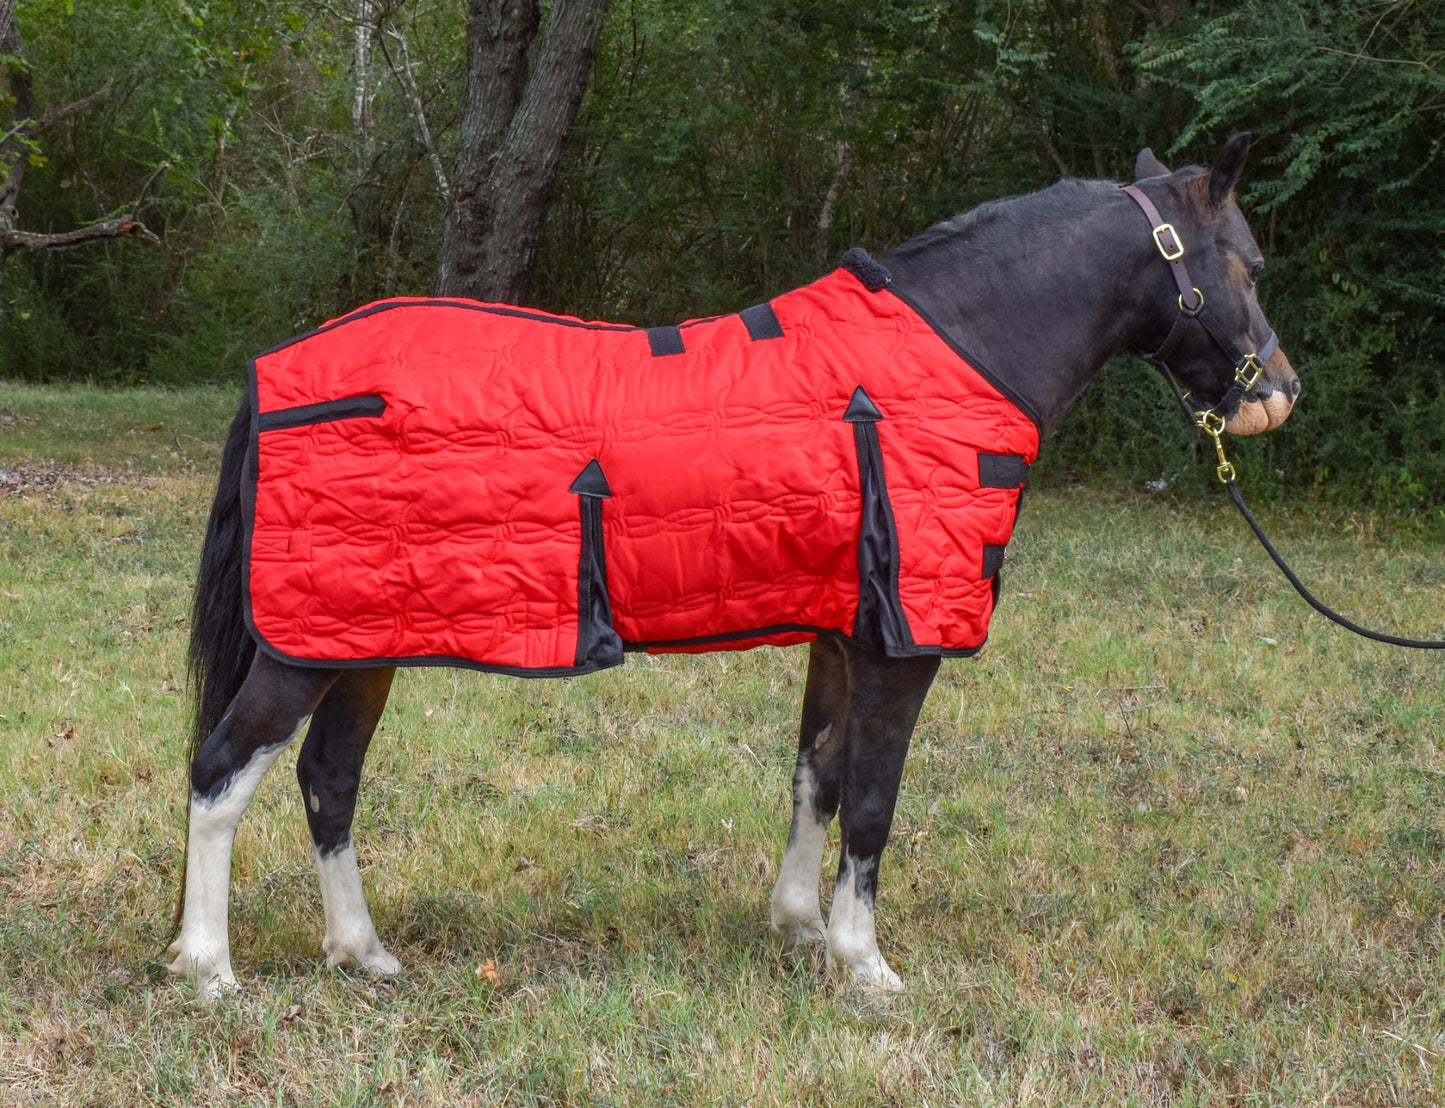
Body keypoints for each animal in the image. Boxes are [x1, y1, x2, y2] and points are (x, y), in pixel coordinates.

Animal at [167, 134, 1300, 1002]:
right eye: (1244, 263)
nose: (1276, 394)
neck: (947, 357)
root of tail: (276, 372)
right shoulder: (900, 648)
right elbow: (873, 799)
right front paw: (864, 966)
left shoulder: (841, 632)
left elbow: (817, 776)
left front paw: (798, 927)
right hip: (306, 644)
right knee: (221, 776)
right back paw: (208, 968)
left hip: (362, 638)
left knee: (327, 782)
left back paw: (361, 952)